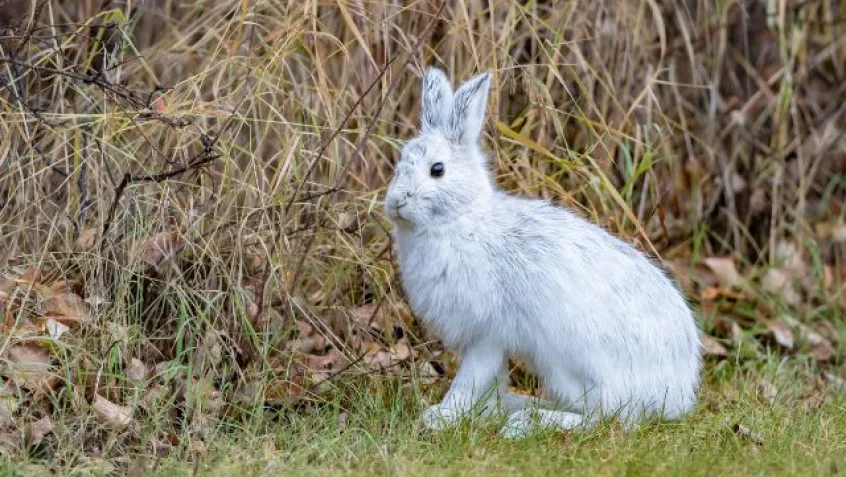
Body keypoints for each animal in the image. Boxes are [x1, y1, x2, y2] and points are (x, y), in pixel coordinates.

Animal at [383, 67, 702, 438]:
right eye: (400, 162)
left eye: (437, 170)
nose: (396, 202)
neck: (461, 219)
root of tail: (677, 392)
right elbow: (491, 383)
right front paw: (483, 414)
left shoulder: (487, 334)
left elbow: (470, 379)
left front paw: (441, 416)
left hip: (569, 363)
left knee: (607, 416)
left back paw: (528, 423)